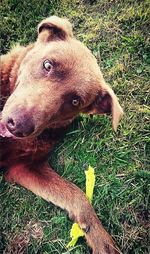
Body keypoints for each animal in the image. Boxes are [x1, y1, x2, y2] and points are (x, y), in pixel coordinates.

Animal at [0, 16, 123, 254]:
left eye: (74, 101)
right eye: (48, 65)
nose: (18, 127)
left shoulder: (25, 167)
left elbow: (76, 195)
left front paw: (99, 238)